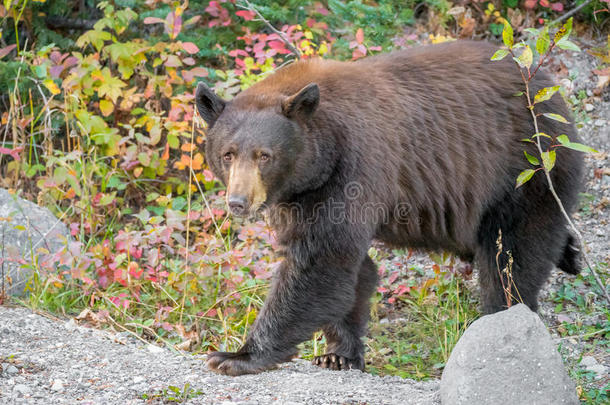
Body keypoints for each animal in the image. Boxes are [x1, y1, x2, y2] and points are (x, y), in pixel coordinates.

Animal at [192, 39, 580, 374]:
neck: (323, 148)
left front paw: (237, 356)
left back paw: (504, 313)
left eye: (264, 156)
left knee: (512, 254)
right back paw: (571, 252)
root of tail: (550, 86)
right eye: (227, 154)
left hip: (527, 166)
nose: (238, 202)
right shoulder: (302, 194)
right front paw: (338, 354)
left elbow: (322, 260)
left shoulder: (356, 164)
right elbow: (350, 267)